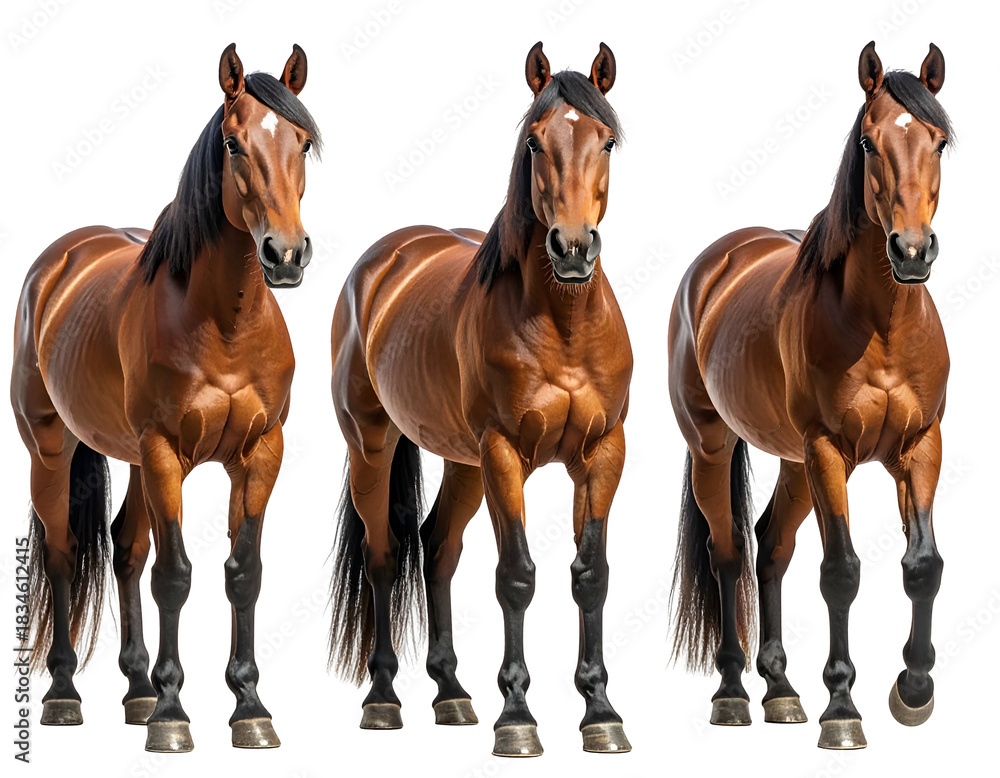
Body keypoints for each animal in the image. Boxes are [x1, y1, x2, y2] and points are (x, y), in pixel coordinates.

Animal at [11, 44, 321, 753]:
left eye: (302, 141)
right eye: (233, 144)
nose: (285, 254)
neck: (223, 324)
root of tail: (57, 263)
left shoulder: (259, 454)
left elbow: (242, 571)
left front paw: (249, 707)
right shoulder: (164, 452)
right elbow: (174, 576)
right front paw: (174, 716)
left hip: (131, 460)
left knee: (125, 549)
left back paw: (137, 689)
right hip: (52, 450)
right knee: (65, 553)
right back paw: (65, 693)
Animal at [328, 42, 631, 757]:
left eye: (606, 140)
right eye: (534, 142)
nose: (572, 248)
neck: (564, 327)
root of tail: (384, 261)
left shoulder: (603, 453)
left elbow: (591, 574)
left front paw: (600, 712)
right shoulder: (504, 454)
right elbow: (516, 575)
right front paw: (517, 717)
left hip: (463, 462)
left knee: (437, 546)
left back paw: (452, 693)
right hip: (374, 447)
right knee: (386, 556)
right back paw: (384, 698)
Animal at [668, 41, 951, 750]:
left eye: (938, 140)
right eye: (870, 142)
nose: (912, 251)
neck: (881, 327)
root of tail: (717, 262)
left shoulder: (919, 446)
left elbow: (923, 565)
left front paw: (913, 692)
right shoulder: (829, 450)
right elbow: (841, 571)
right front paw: (843, 709)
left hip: (796, 464)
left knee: (770, 545)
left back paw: (782, 690)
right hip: (718, 449)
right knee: (730, 555)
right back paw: (734, 692)